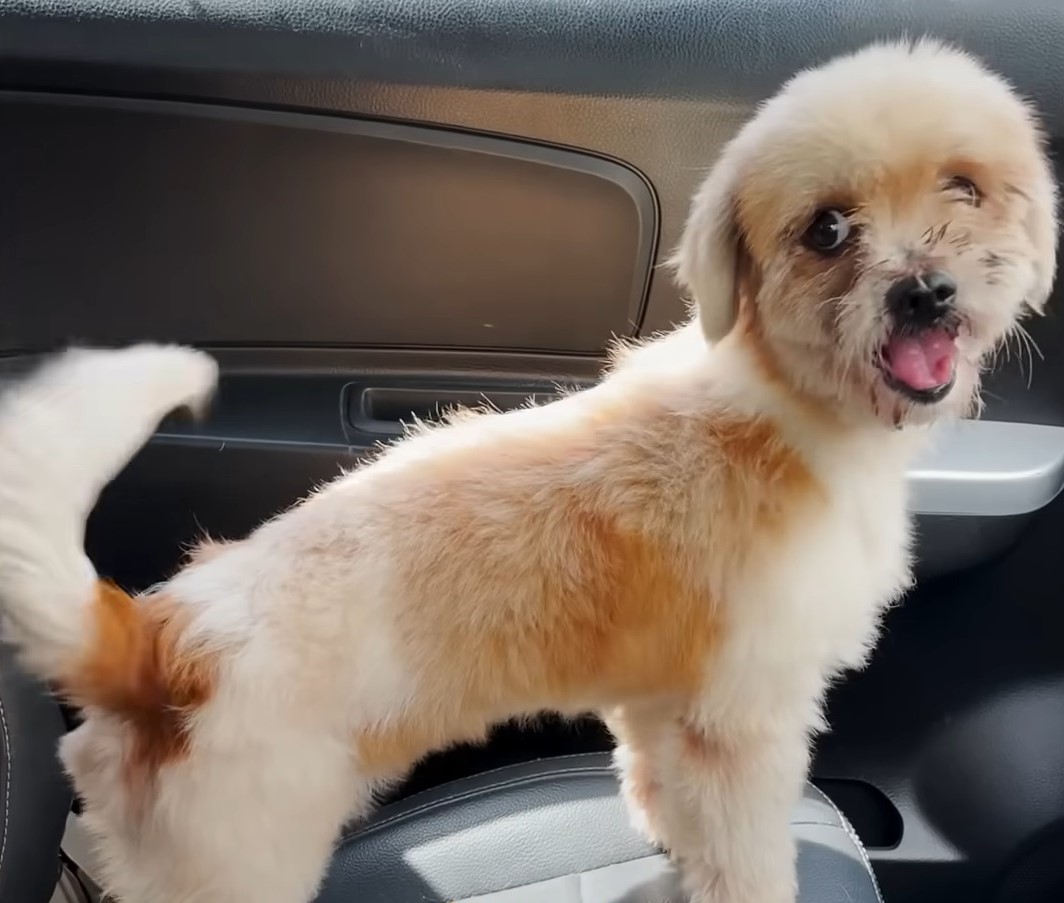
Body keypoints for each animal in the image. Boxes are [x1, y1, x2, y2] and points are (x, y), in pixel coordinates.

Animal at [0, 36, 1055, 901]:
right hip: (235, 861)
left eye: (965, 186)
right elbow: (748, 849)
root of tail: (162, 638)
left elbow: (659, 783)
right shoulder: (743, 721)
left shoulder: (662, 699)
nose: (925, 292)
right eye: (827, 229)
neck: (786, 397)